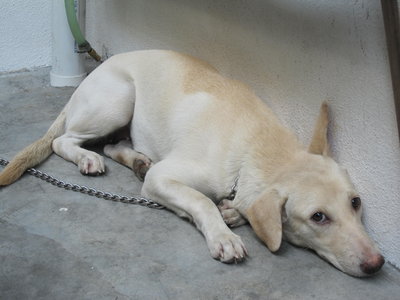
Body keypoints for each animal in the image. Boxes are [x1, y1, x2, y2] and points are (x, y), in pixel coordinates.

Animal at [0, 49, 384, 276]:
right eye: (318, 217)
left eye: (355, 203)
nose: (377, 263)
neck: (256, 147)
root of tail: (94, 73)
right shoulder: (164, 177)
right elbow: (202, 201)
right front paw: (223, 235)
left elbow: (236, 207)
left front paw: (234, 213)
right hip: (118, 100)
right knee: (64, 140)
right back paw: (87, 158)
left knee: (114, 145)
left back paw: (135, 159)